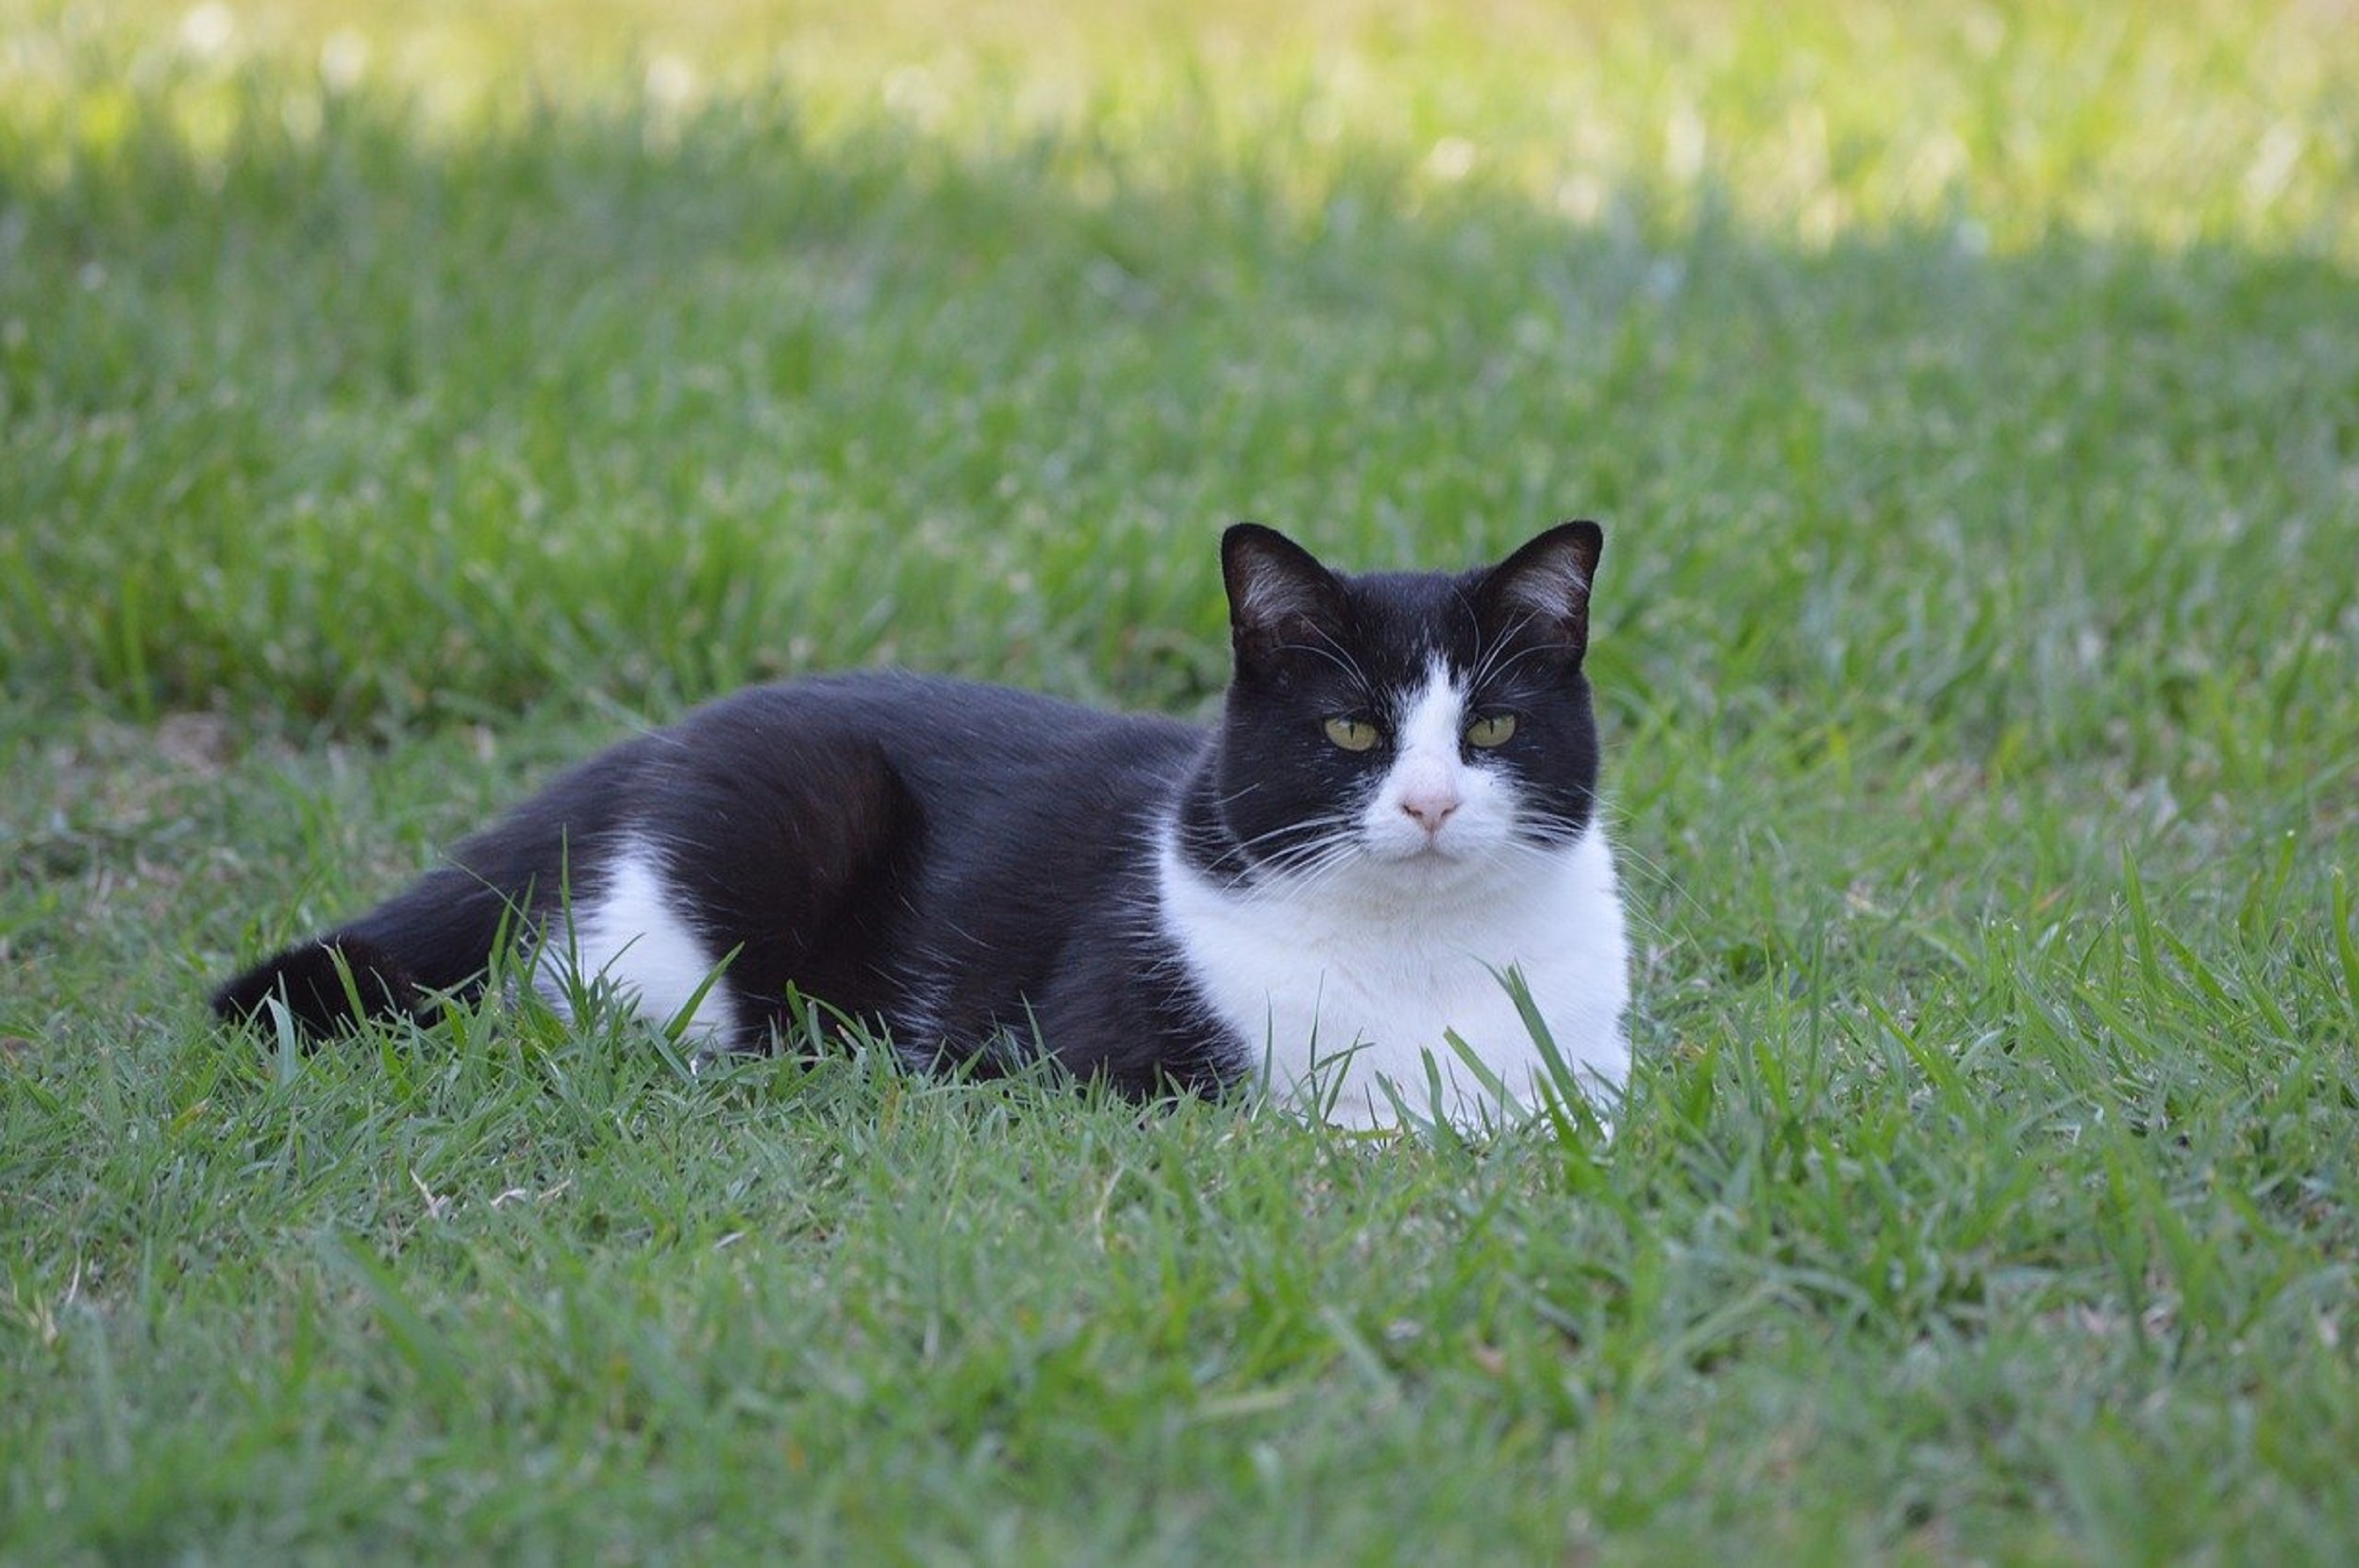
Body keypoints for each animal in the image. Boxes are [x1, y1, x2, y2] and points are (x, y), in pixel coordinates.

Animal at [212, 523, 1632, 1126]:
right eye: (1350, 733)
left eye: (1492, 727)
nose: (1433, 802)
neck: (1421, 959)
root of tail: (668, 733)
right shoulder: (1104, 1057)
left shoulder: (1594, 1069)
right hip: (752, 867)